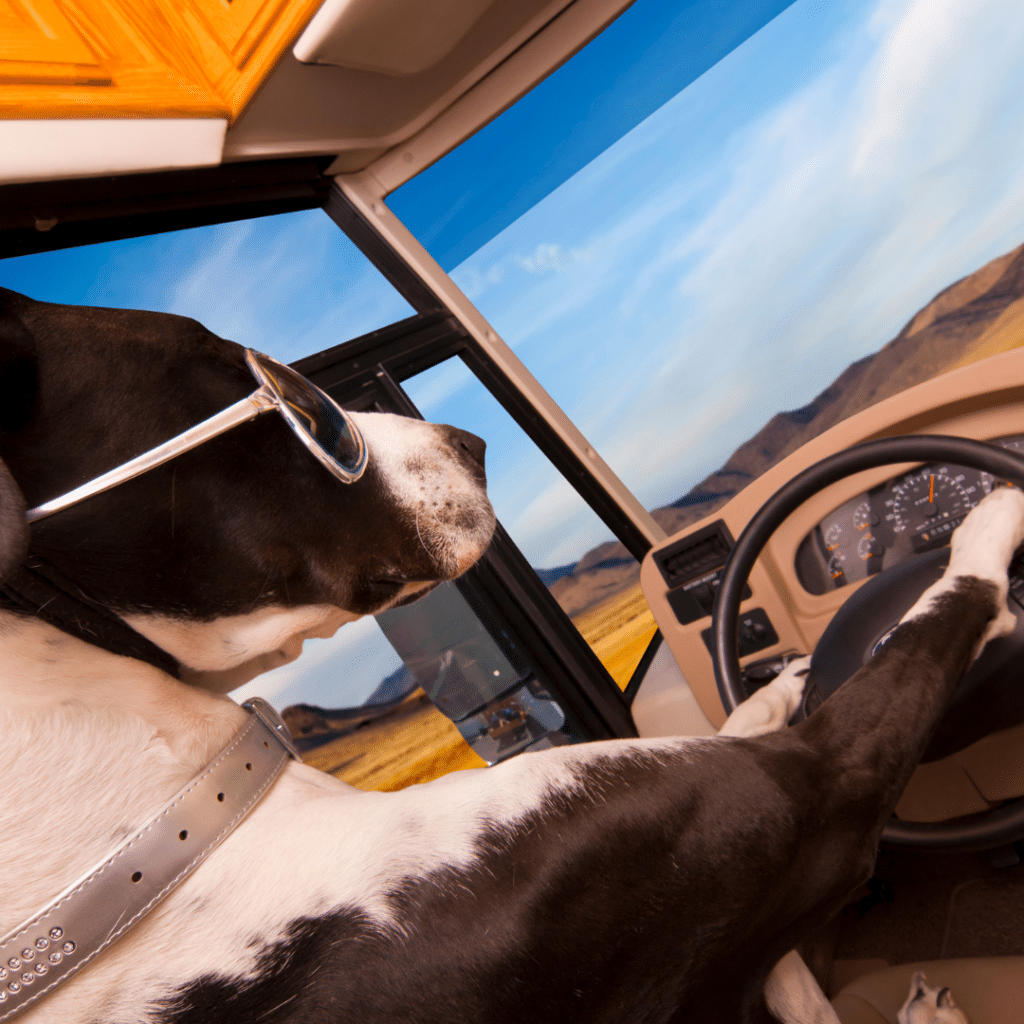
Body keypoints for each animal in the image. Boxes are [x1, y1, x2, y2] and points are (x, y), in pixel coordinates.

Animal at [0, 282, 1015, 1024]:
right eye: (271, 392)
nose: (471, 439)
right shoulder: (822, 793)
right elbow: (934, 615)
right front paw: (990, 522)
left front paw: (781, 677)